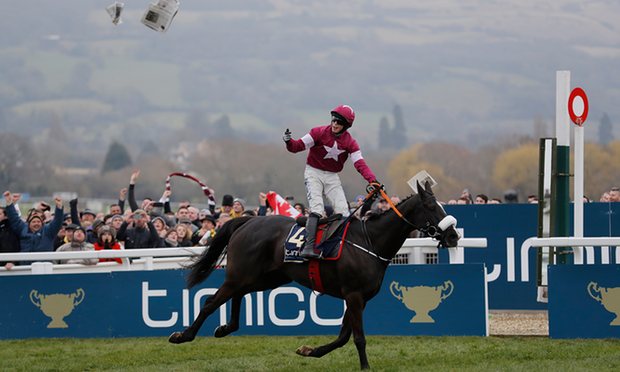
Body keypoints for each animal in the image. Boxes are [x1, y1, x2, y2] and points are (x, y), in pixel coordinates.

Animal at [170, 181, 460, 370]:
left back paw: (225, 328)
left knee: (238, 295)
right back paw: (184, 335)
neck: (371, 242)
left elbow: (343, 337)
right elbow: (357, 337)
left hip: (266, 278)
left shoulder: (359, 298)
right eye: (431, 206)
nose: (453, 236)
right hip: (241, 274)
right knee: (211, 301)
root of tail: (248, 221)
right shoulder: (354, 295)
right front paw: (365, 367)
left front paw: (309, 350)